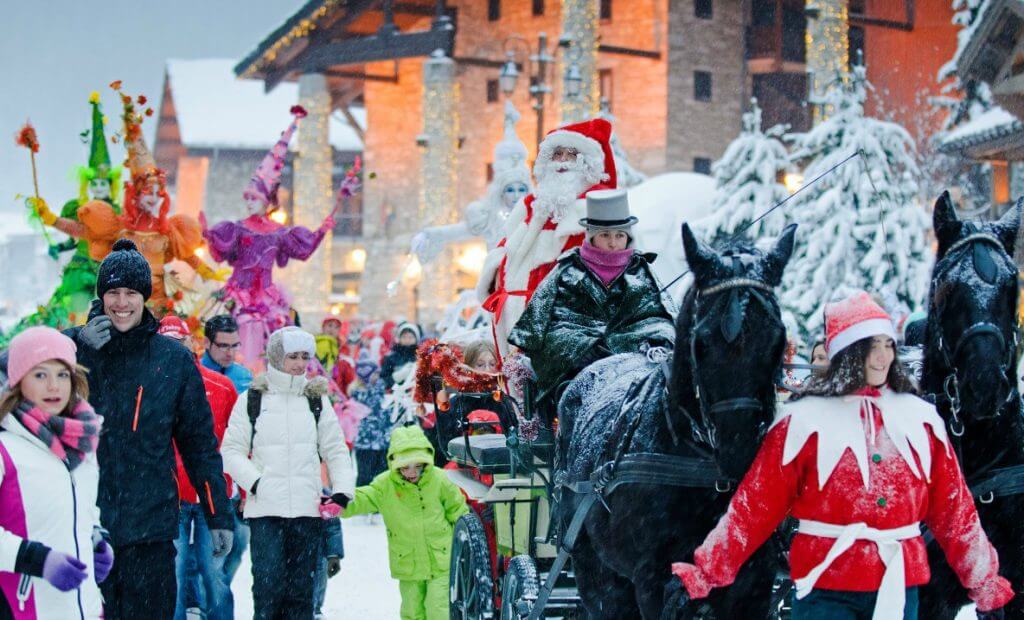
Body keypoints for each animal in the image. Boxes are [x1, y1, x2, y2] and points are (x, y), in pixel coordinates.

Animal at [557, 223, 794, 618]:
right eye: (702, 342)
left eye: (777, 341)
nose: (740, 451)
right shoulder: (653, 581)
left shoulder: (755, 582)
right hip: (595, 570)